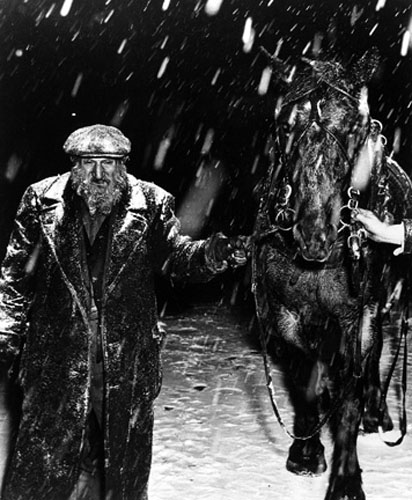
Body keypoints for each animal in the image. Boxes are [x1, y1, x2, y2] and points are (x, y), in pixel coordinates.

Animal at [253, 52, 410, 498]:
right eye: (285, 127)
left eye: (354, 128)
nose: (313, 235)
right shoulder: (287, 315)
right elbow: (306, 377)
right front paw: (306, 453)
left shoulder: (355, 317)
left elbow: (350, 391)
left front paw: (345, 476)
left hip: (380, 301)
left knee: (374, 355)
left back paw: (378, 414)